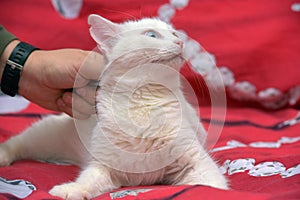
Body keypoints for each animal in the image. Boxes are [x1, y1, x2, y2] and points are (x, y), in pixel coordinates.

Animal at [0, 14, 226, 199]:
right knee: (18, 143)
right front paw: (71, 190)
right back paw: (3, 156)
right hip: (46, 136)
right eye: (151, 35)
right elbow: (87, 180)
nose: (180, 41)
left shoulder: (196, 162)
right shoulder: (102, 166)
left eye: (174, 33)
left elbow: (209, 184)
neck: (143, 104)